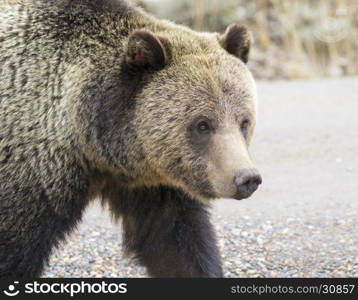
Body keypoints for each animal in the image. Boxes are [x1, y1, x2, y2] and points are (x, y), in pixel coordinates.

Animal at [0, 0, 262, 278]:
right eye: (202, 124)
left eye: (244, 121)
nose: (246, 178)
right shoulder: (32, 172)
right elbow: (16, 249)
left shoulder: (151, 183)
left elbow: (174, 240)